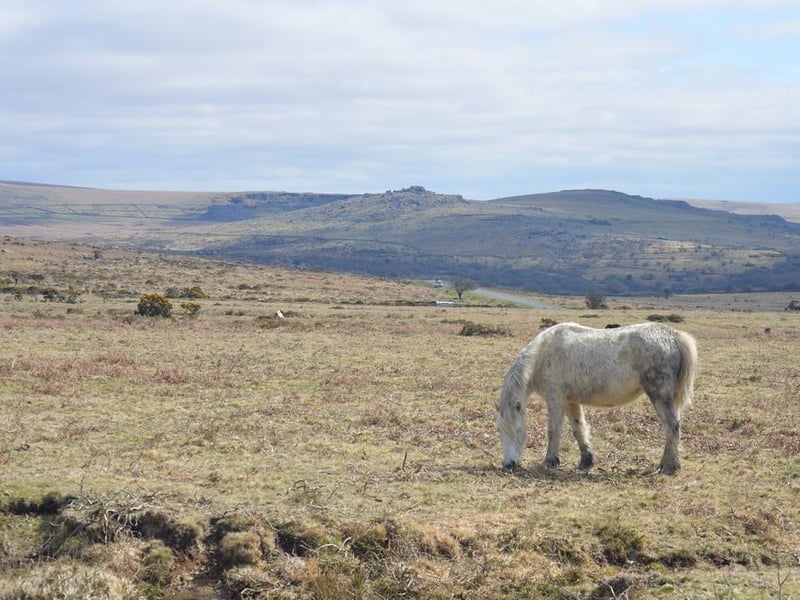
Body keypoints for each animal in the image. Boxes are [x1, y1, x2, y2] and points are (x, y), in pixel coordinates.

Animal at [495, 322, 697, 475]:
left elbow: (554, 430)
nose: (508, 464)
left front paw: (550, 461)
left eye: (516, 429)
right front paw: (586, 461)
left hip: (660, 395)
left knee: (672, 426)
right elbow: (579, 429)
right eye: (499, 429)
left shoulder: (556, 398)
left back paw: (668, 466)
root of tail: (674, 336)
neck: (542, 354)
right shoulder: (571, 401)